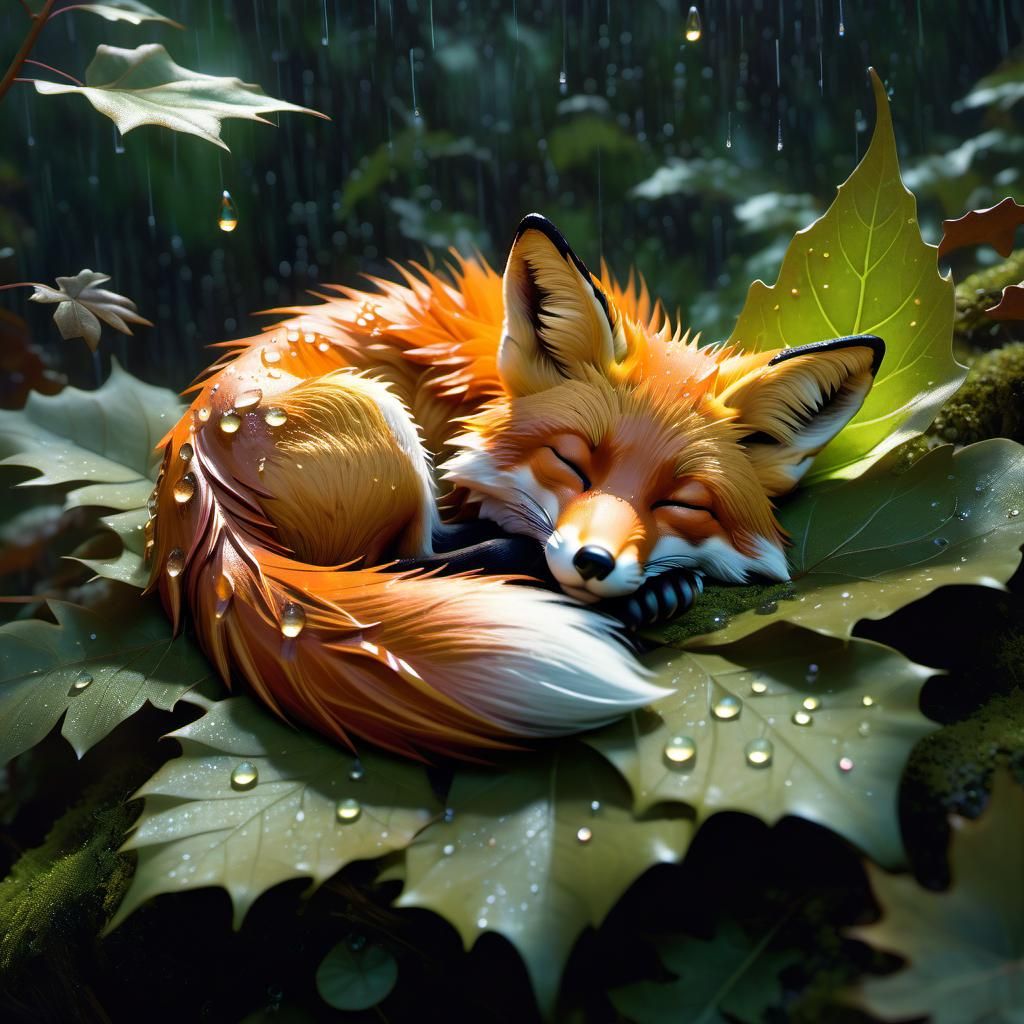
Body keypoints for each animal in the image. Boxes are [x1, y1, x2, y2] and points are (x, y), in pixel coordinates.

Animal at [147, 214, 884, 759]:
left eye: (681, 502)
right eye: (572, 464)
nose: (593, 562)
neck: (484, 394)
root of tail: (198, 484)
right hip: (381, 420)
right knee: (403, 563)